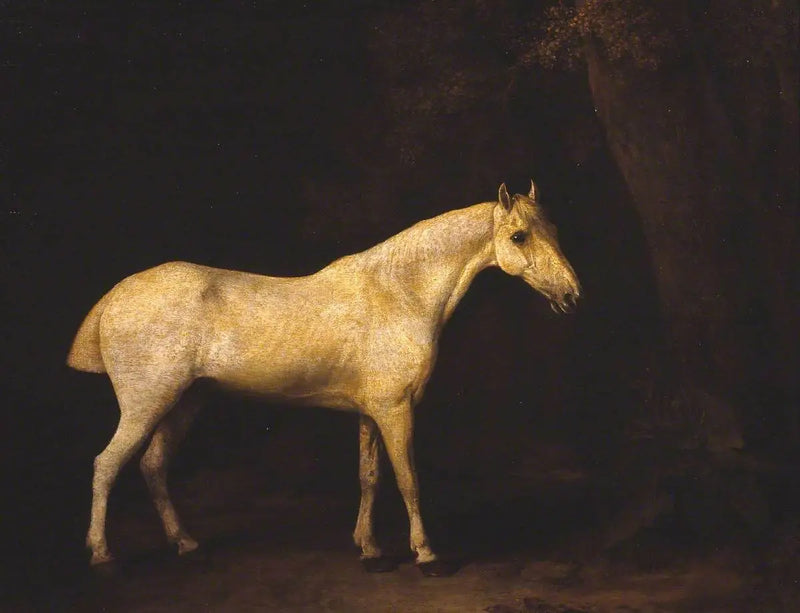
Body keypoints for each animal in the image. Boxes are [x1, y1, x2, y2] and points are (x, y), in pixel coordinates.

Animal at [67, 181, 580, 575]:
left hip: (185, 402)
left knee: (153, 466)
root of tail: (114, 297)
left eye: (553, 230)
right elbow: (408, 480)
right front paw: (426, 554)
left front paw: (369, 549)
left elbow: (370, 477)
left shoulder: (371, 412)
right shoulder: (396, 410)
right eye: (519, 236)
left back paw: (186, 543)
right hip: (146, 403)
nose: (572, 295)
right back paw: (103, 554)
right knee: (106, 465)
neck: (399, 292)